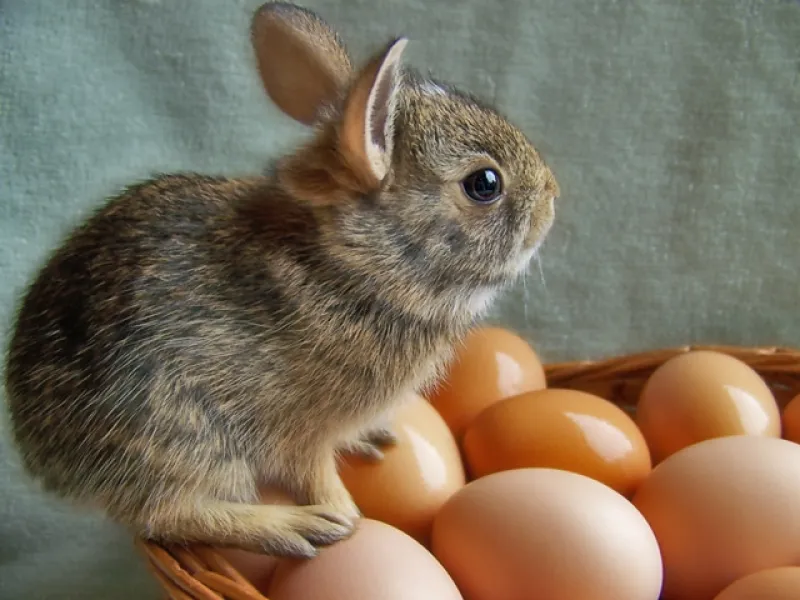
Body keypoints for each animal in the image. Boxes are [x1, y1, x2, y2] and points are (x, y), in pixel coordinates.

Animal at [3, 1, 559, 558]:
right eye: (484, 184)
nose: (554, 196)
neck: (358, 265)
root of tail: (44, 456)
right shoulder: (299, 430)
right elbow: (313, 474)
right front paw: (348, 518)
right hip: (185, 438)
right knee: (167, 514)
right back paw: (293, 527)